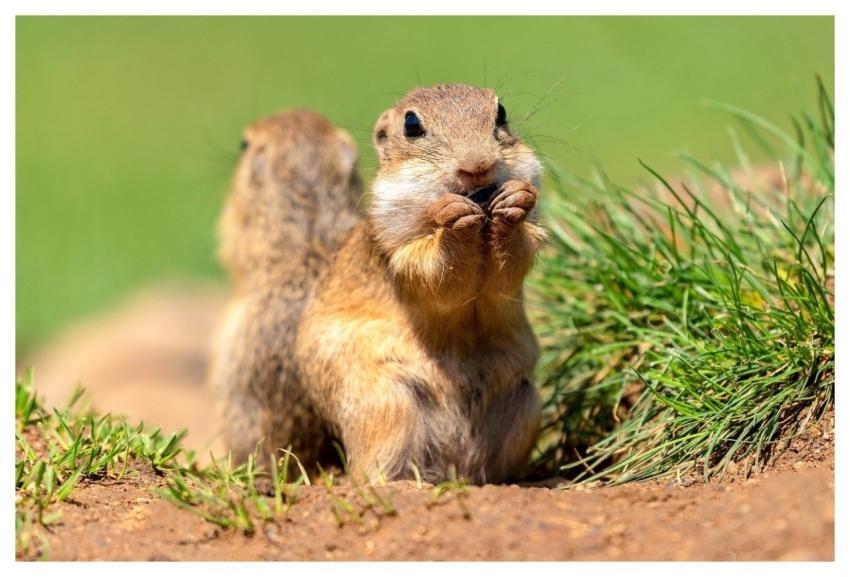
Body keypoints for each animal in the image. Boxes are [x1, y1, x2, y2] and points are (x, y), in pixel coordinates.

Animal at [210, 84, 546, 484]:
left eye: (501, 113)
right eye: (412, 125)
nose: (477, 166)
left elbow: (511, 265)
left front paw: (514, 202)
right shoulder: (392, 249)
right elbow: (434, 272)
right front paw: (453, 218)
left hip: (525, 405)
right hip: (386, 405)